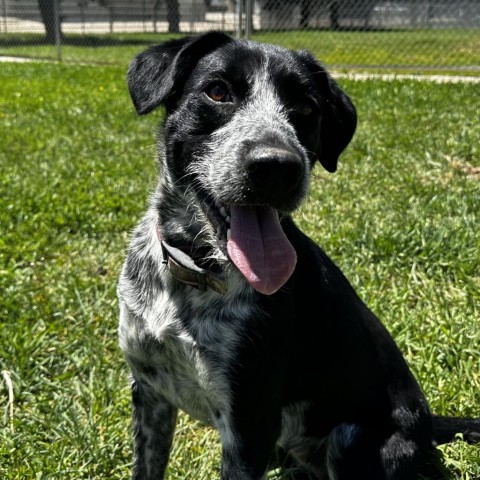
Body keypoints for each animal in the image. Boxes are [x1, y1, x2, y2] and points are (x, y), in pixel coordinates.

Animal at [117, 31, 480, 478]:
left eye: (306, 107)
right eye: (217, 91)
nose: (277, 166)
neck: (194, 271)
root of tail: (429, 426)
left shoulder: (250, 422)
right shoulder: (149, 391)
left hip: (350, 440)